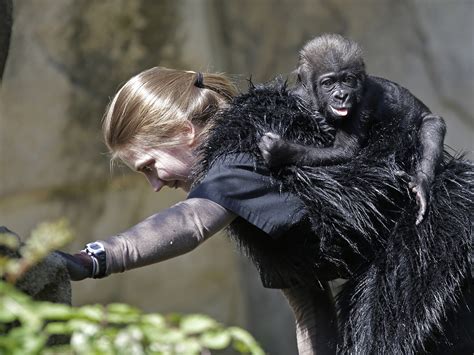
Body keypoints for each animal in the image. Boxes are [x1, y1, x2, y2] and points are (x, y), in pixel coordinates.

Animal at [258, 35, 446, 225]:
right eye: (328, 83)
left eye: (348, 80)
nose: (341, 96)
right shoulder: (299, 94)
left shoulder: (364, 101)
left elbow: (345, 150)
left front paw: (281, 151)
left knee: (432, 123)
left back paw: (421, 183)